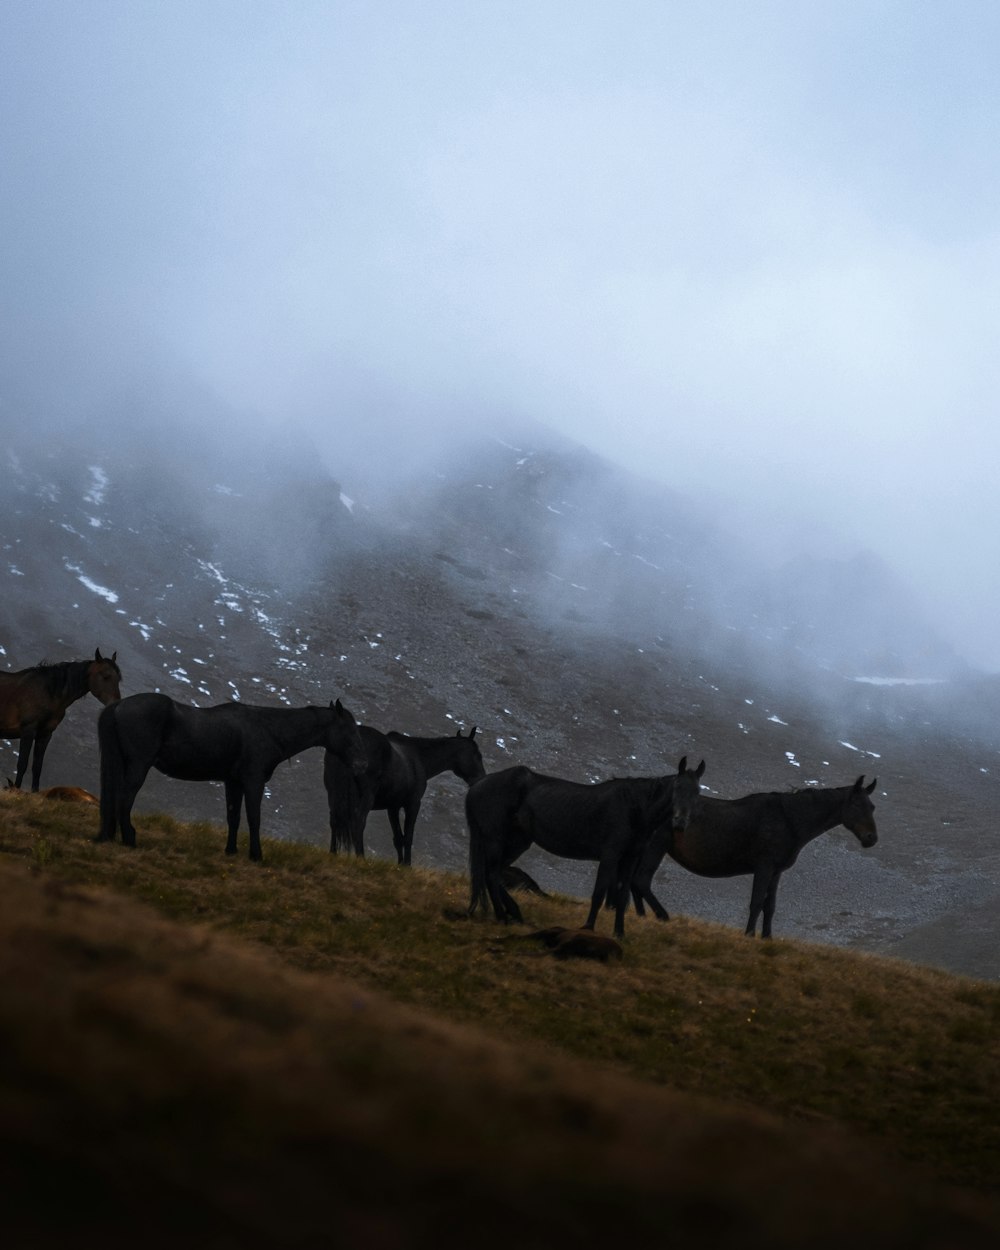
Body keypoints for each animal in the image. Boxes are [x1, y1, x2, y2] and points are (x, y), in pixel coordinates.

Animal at [0, 645, 121, 790]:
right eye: (105, 676)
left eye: (119, 679)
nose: (116, 703)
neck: (49, 693)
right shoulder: (28, 730)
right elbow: (22, 765)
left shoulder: (45, 735)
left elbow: (37, 768)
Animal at [95, 695, 362, 860]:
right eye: (348, 729)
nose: (361, 765)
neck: (268, 729)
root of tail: (118, 706)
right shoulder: (253, 782)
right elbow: (254, 818)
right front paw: (256, 855)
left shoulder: (233, 782)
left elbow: (233, 817)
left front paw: (231, 850)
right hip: (138, 766)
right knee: (123, 800)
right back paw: (130, 838)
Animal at [325, 730, 487, 865]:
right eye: (477, 755)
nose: (481, 779)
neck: (418, 757)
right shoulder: (413, 804)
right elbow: (408, 837)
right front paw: (407, 866)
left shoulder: (393, 807)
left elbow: (398, 838)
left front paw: (399, 865)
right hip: (364, 799)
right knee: (358, 823)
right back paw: (361, 858)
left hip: (334, 795)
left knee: (334, 821)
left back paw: (333, 853)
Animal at [467, 750, 705, 940]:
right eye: (677, 787)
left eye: (697, 792)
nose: (680, 823)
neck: (633, 808)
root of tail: (479, 785)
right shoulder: (610, 855)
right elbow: (599, 892)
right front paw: (588, 927)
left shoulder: (629, 859)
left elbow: (622, 896)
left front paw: (620, 933)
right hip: (496, 839)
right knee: (492, 874)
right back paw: (503, 917)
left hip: (518, 842)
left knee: (493, 873)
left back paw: (513, 914)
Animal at [630, 770, 880, 940]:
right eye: (856, 804)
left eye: (872, 806)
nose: (871, 838)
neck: (789, 819)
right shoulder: (764, 867)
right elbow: (757, 902)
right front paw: (749, 934)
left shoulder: (776, 871)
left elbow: (770, 906)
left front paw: (767, 938)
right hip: (656, 847)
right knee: (641, 881)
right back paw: (662, 916)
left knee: (635, 883)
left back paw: (641, 916)